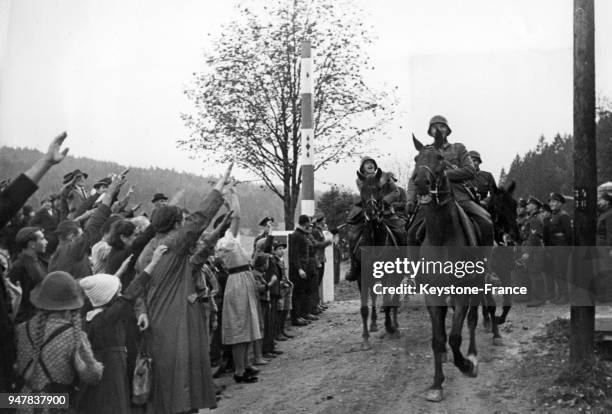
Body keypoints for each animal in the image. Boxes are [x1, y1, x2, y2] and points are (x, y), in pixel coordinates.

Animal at [354, 168, 402, 350]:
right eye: (362, 191)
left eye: (378, 189)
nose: (371, 213)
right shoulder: (362, 277)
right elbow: (364, 308)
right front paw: (366, 338)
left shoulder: (389, 275)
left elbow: (388, 301)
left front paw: (390, 327)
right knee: (375, 297)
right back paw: (374, 324)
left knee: (394, 299)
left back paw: (395, 326)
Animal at [412, 137, 482, 404]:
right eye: (416, 159)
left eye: (441, 159)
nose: (420, 182)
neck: (442, 237)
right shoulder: (432, 293)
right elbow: (438, 338)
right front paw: (436, 384)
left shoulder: (463, 292)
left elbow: (455, 336)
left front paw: (466, 365)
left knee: (472, 320)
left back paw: (472, 355)